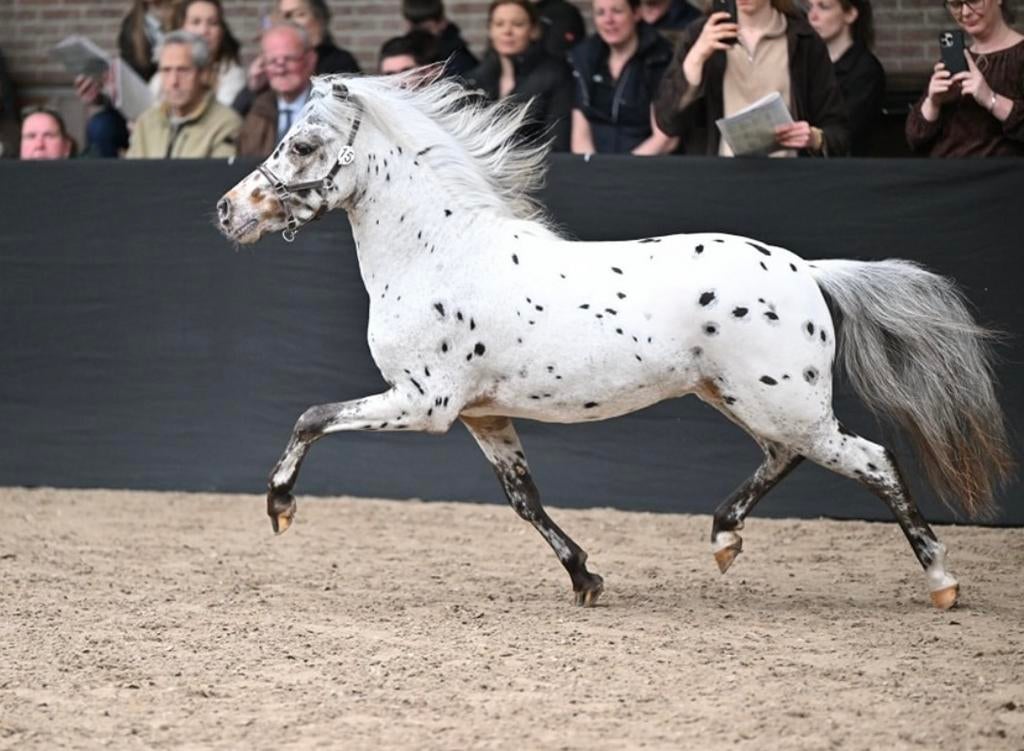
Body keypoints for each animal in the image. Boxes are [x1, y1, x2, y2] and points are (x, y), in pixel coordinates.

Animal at [216, 71, 1014, 610]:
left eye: (303, 144)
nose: (228, 212)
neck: (439, 252)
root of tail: (808, 271)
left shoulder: (423, 403)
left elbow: (312, 417)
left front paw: (280, 508)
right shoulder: (482, 415)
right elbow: (524, 501)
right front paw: (586, 577)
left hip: (782, 402)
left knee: (872, 460)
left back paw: (943, 583)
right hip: (742, 398)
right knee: (785, 457)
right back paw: (724, 541)